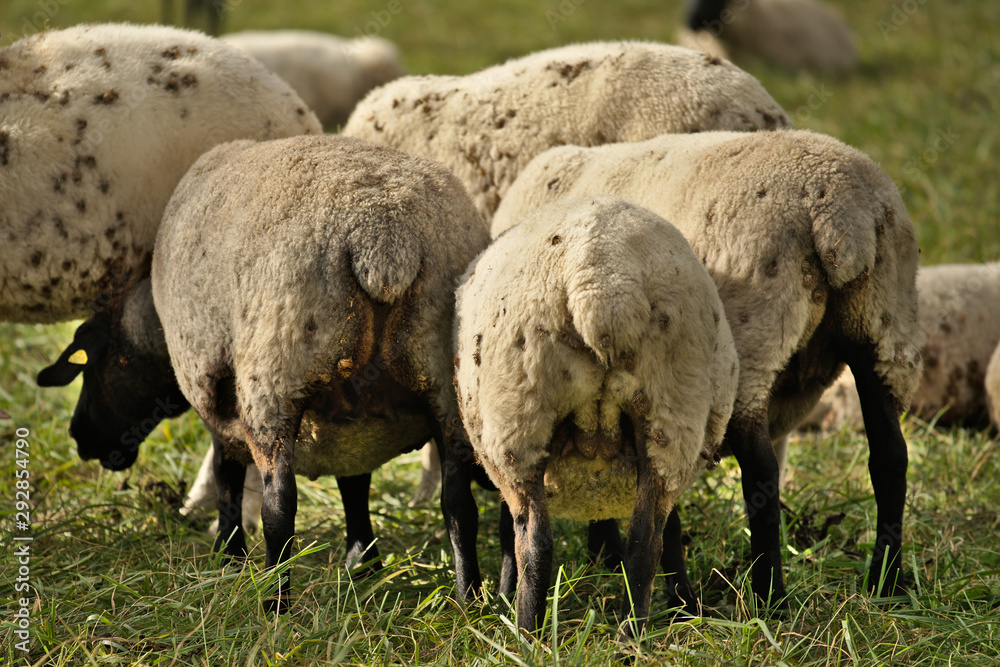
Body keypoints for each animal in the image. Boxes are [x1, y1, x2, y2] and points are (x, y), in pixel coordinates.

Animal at [38, 134, 491, 610]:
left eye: (89, 368)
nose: (79, 438)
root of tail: (385, 246)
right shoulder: (351, 421)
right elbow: (354, 481)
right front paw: (362, 563)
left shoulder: (217, 400)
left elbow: (227, 476)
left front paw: (229, 554)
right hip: (445, 386)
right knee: (459, 503)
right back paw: (469, 601)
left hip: (273, 377)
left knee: (279, 504)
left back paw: (274, 599)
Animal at [455, 195, 737, 636]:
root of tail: (603, 284)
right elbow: (670, 529)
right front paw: (685, 603)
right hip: (671, 415)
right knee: (645, 538)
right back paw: (630, 632)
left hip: (519, 419)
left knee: (534, 541)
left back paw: (526, 631)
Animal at [492, 129, 922, 606]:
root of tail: (838, 210)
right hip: (881, 324)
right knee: (890, 456)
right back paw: (886, 581)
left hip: (757, 333)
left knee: (761, 472)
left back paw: (769, 595)